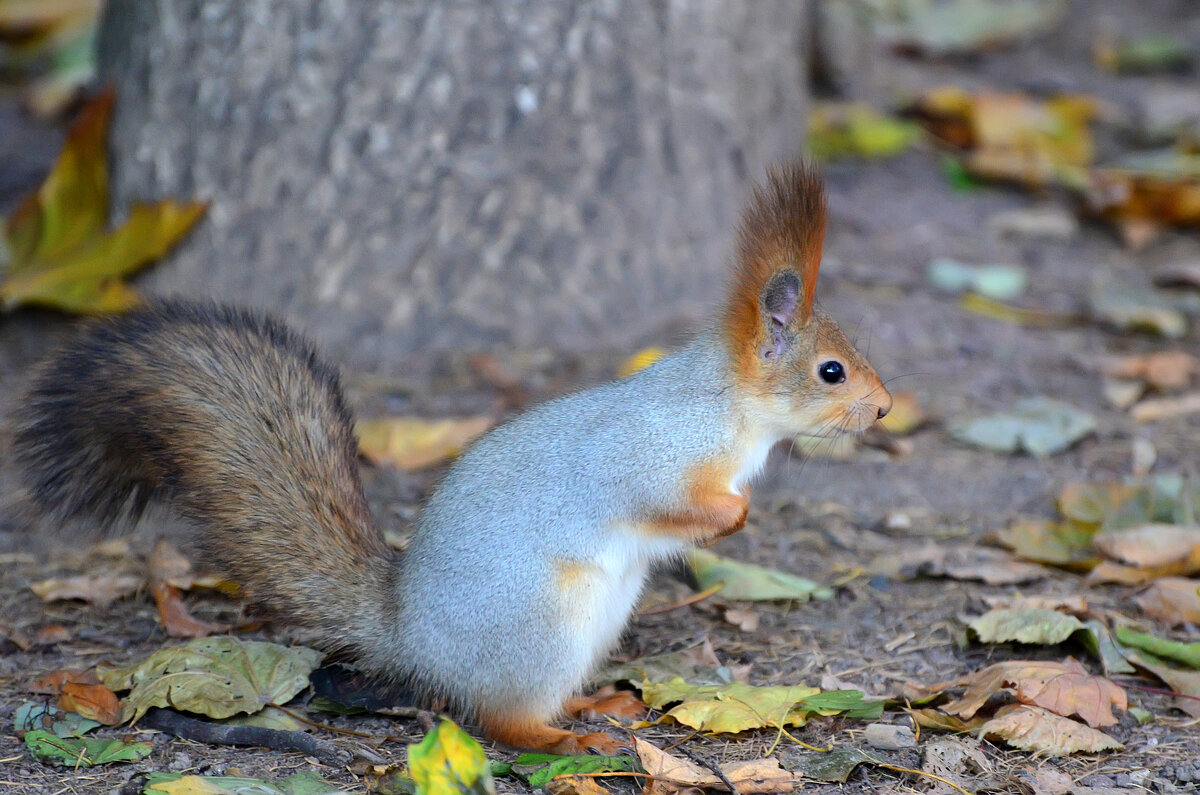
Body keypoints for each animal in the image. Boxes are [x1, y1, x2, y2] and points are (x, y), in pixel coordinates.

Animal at [11, 160, 892, 754]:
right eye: (832, 371)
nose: (884, 407)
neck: (734, 410)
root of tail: (410, 637)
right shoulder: (652, 454)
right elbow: (664, 499)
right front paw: (734, 515)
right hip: (545, 621)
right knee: (501, 718)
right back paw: (567, 739)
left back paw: (591, 709)